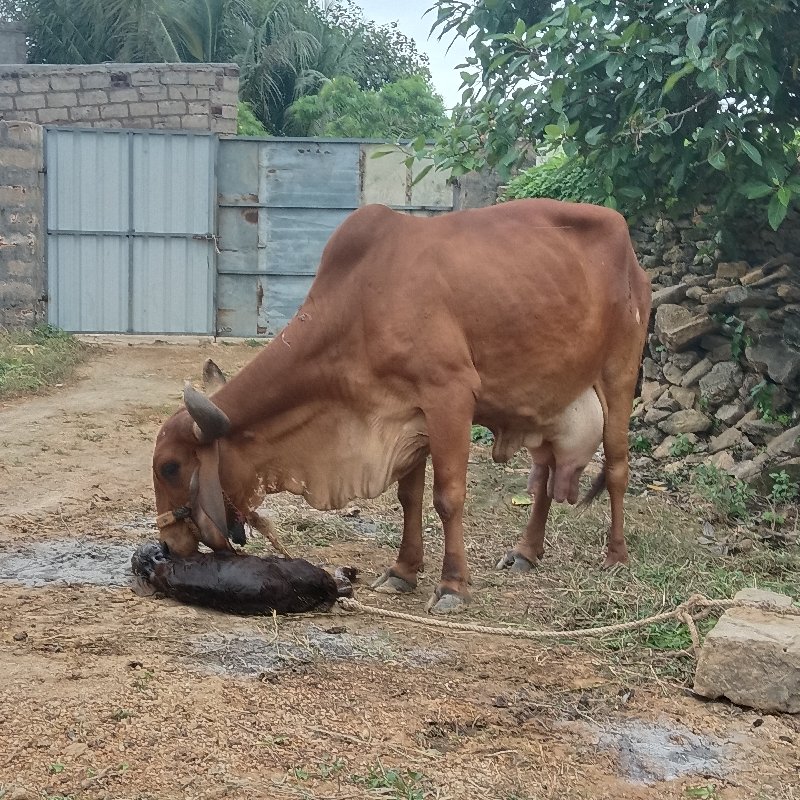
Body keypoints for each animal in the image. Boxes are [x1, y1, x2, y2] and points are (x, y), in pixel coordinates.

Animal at [150, 198, 648, 612]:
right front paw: (403, 572)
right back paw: (526, 552)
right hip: (545, 399)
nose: (168, 545)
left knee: (617, 468)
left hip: (620, 374)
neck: (360, 304)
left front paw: (452, 586)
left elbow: (448, 497)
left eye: (170, 467)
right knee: (543, 473)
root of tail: (628, 244)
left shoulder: (449, 396)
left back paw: (617, 556)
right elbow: (410, 498)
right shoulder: (405, 416)